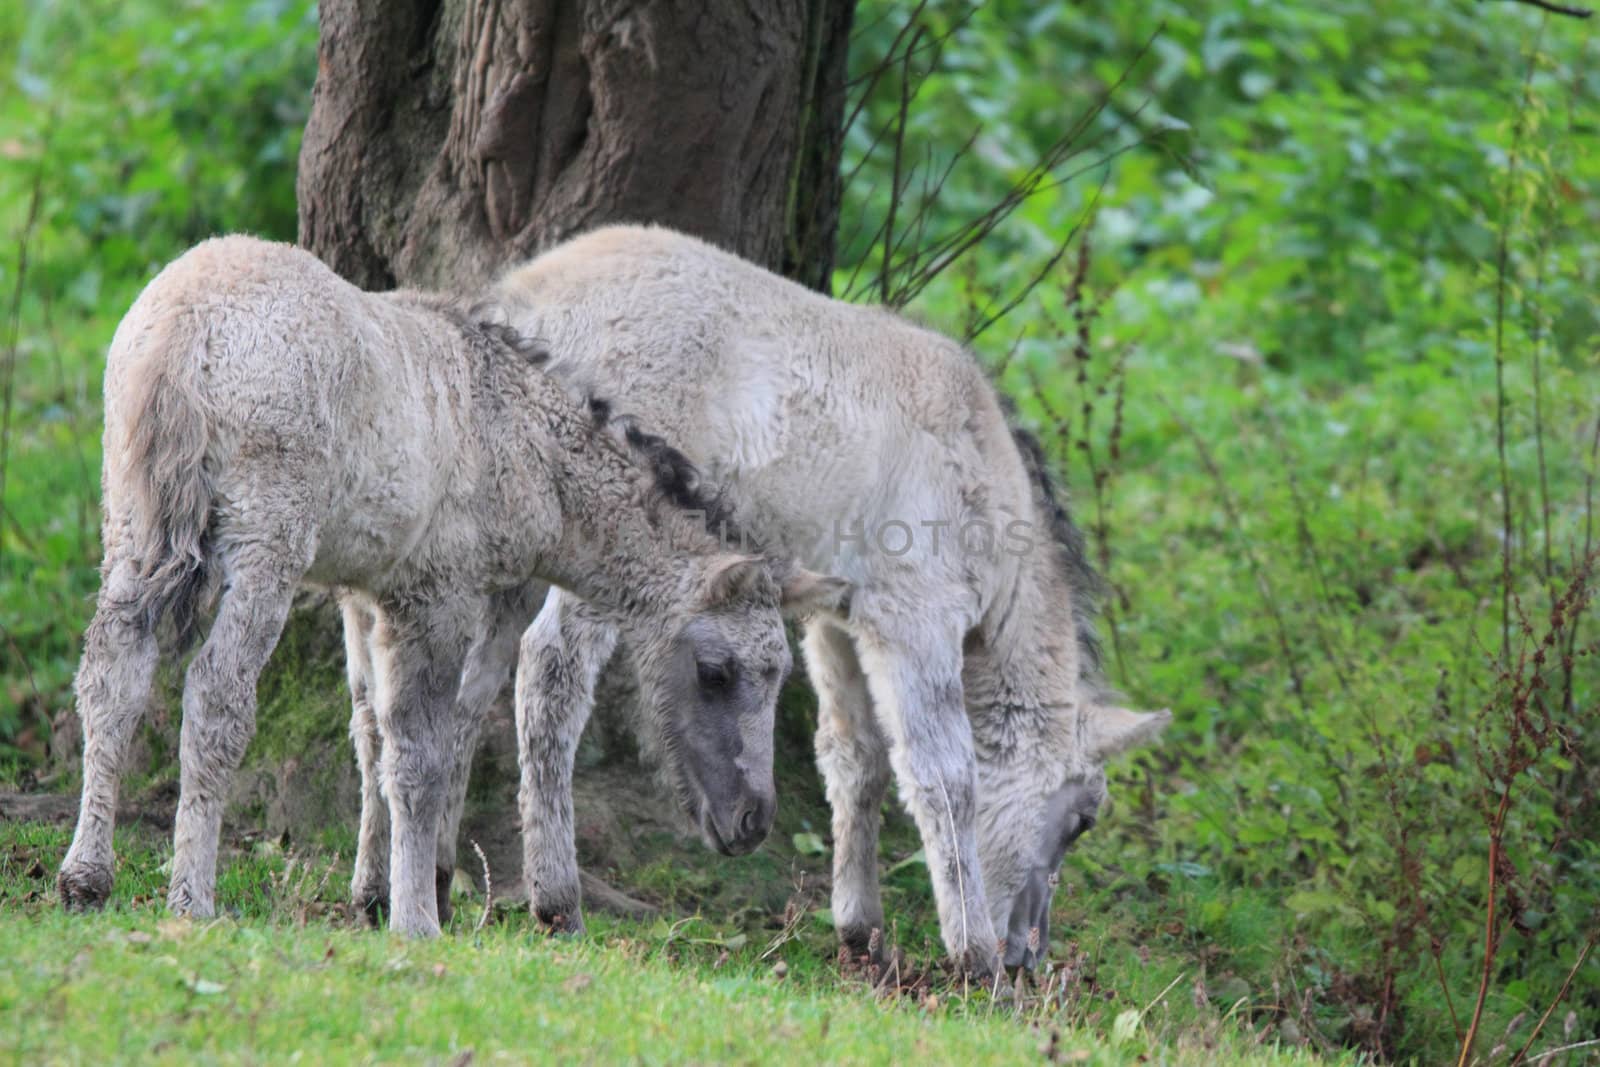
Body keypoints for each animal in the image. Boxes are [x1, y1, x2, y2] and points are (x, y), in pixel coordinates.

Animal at [59, 235, 838, 934]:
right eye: (715, 671)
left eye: (780, 674)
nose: (752, 820)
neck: (527, 441)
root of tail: (184, 330)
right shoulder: (443, 595)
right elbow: (424, 748)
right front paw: (417, 915)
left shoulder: (366, 591)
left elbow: (372, 730)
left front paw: (375, 894)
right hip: (265, 542)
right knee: (216, 693)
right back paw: (192, 898)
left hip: (133, 522)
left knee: (111, 673)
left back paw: (86, 878)